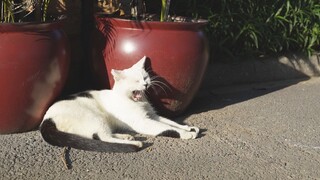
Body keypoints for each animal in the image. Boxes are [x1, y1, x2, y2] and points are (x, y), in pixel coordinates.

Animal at [39, 56, 200, 152]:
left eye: (145, 77)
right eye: (136, 80)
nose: (146, 84)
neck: (137, 102)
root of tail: (46, 120)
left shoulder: (153, 115)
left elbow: (170, 122)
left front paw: (188, 127)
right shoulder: (143, 122)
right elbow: (166, 128)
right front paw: (186, 134)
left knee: (102, 135)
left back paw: (126, 137)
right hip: (94, 117)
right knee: (101, 137)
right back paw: (134, 144)